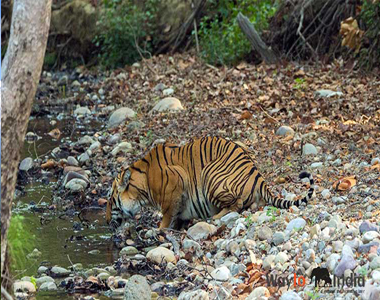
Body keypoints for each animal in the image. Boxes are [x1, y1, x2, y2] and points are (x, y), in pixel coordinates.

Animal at [104, 137, 314, 230]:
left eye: (110, 199)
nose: (105, 220)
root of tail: (258, 176)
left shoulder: (176, 182)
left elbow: (167, 213)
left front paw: (161, 229)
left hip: (210, 175)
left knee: (236, 204)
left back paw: (215, 217)